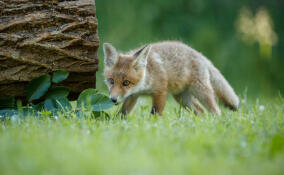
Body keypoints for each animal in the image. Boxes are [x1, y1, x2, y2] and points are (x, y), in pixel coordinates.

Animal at [103, 40, 239, 115]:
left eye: (126, 83)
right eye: (111, 81)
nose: (113, 99)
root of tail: (199, 54)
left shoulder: (161, 91)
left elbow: (155, 114)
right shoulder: (133, 96)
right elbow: (122, 113)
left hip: (201, 92)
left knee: (216, 110)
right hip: (182, 98)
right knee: (201, 111)